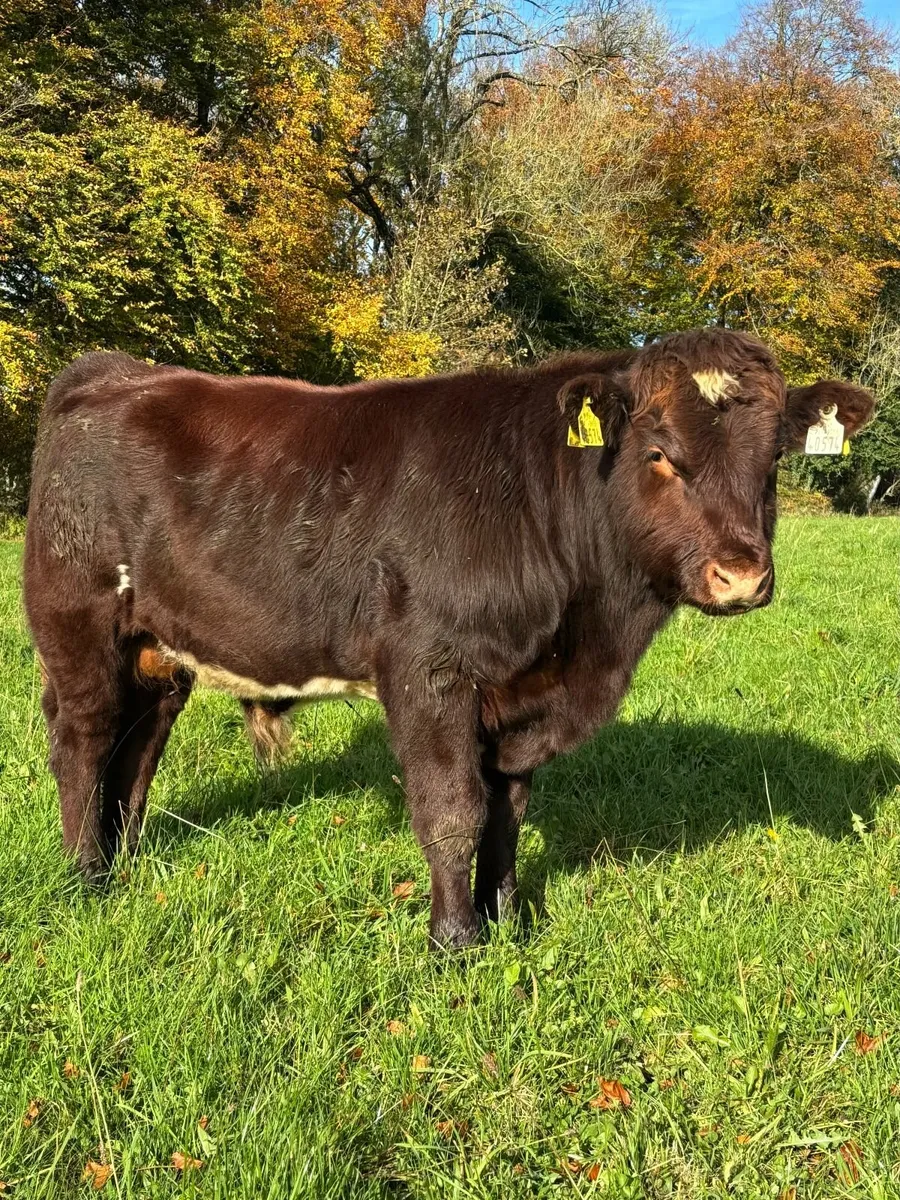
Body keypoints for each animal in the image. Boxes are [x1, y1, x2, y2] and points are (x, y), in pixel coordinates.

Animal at [23, 329, 874, 948]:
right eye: (659, 453)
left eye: (773, 461)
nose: (741, 575)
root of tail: (113, 372)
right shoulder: (427, 671)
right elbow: (452, 809)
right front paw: (454, 940)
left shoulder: (520, 700)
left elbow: (507, 813)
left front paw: (505, 921)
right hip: (77, 622)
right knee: (83, 738)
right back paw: (86, 875)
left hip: (158, 648)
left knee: (139, 742)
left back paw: (127, 859)